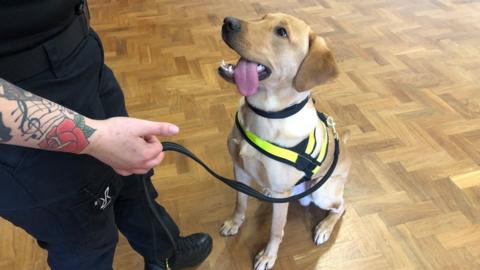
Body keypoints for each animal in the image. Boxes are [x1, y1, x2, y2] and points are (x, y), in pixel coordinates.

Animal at [219, 13, 350, 270]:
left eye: (281, 32)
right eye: (262, 18)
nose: (228, 22)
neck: (265, 114)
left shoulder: (281, 195)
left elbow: (276, 230)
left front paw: (268, 256)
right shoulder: (239, 167)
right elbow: (240, 202)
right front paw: (234, 223)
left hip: (323, 193)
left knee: (342, 206)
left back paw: (325, 228)